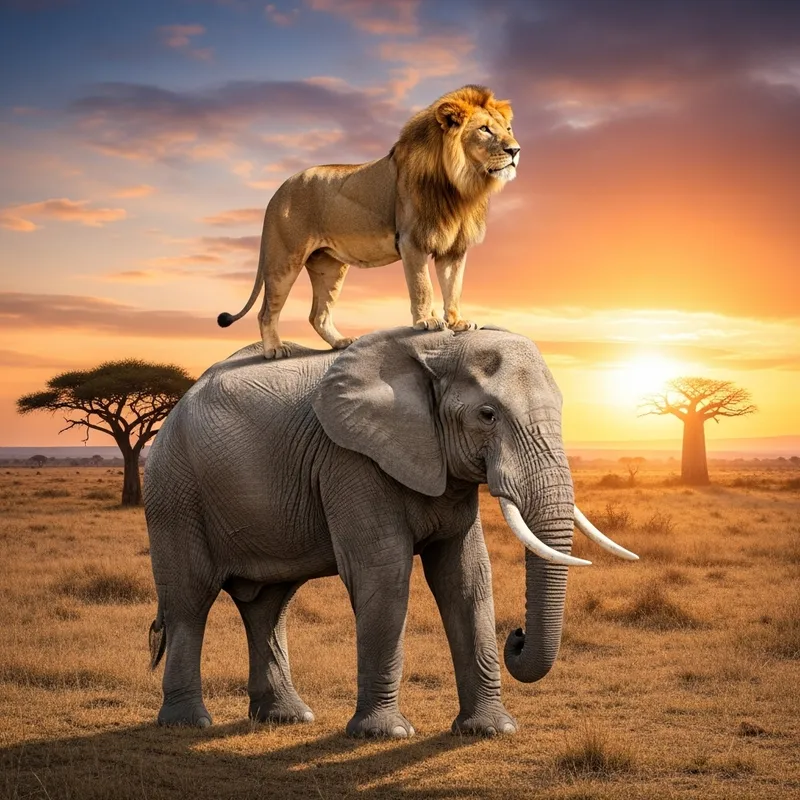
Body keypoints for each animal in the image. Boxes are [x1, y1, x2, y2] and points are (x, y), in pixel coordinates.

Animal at [144, 326, 637, 737]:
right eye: (487, 414)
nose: (515, 636)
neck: (436, 349)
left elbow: (467, 577)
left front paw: (490, 730)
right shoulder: (350, 460)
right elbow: (384, 573)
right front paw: (386, 734)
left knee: (269, 605)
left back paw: (287, 718)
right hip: (174, 491)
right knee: (191, 598)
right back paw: (189, 724)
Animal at [218, 85, 520, 358]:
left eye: (508, 129)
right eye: (485, 129)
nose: (515, 150)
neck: (461, 185)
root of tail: (277, 191)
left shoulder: (454, 247)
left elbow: (453, 287)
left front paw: (457, 322)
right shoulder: (411, 240)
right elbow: (422, 285)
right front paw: (427, 321)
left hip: (329, 266)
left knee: (318, 314)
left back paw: (341, 343)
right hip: (283, 260)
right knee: (266, 311)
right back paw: (274, 350)